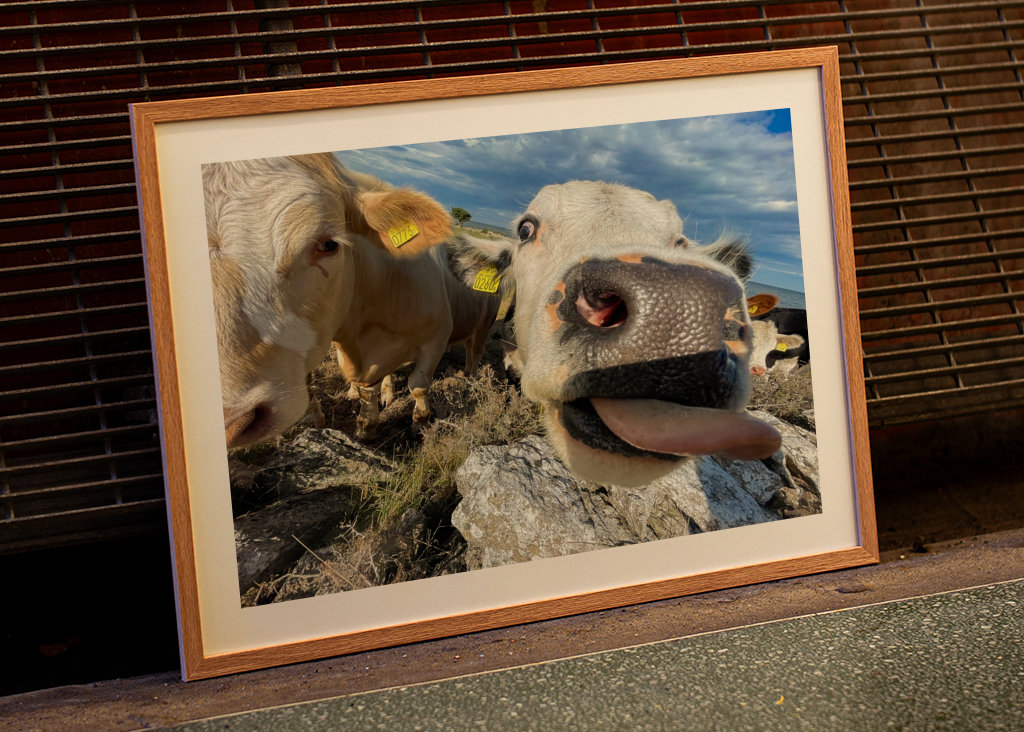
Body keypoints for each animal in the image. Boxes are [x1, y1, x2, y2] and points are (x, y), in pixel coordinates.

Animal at [205, 152, 500, 448]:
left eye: (329, 245)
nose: (233, 422)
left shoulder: (435, 339)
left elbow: (418, 386)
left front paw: (420, 426)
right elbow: (367, 390)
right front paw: (365, 427)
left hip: (485, 322)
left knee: (475, 351)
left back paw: (470, 380)